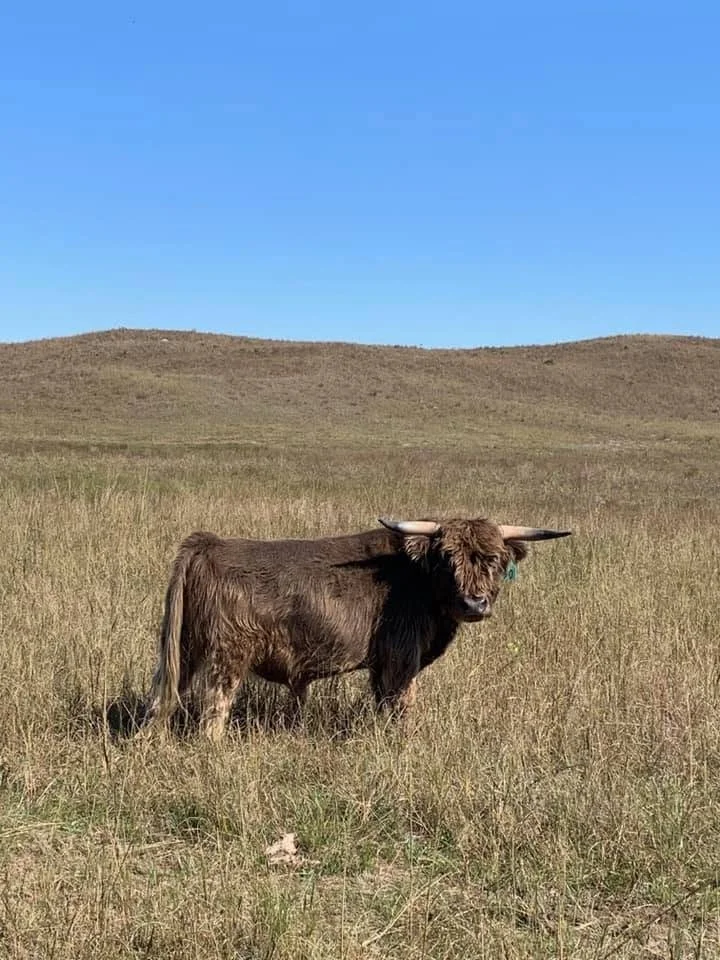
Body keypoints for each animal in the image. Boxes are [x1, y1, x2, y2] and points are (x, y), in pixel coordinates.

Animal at [143, 516, 571, 740]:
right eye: (447, 558)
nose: (474, 604)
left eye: (495, 560)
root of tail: (209, 543)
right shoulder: (401, 658)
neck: (417, 579)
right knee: (213, 709)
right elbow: (400, 704)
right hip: (226, 657)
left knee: (163, 697)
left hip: (184, 649)